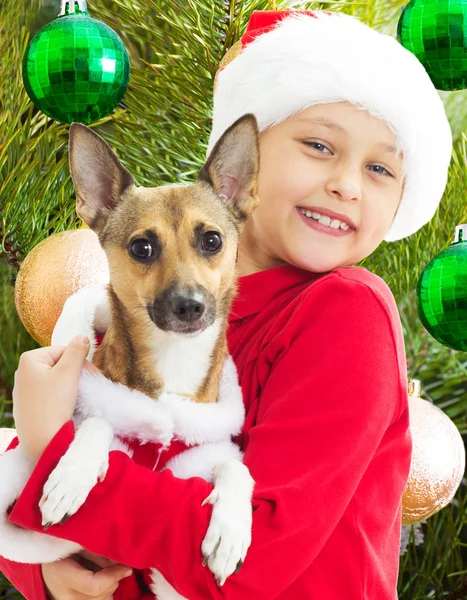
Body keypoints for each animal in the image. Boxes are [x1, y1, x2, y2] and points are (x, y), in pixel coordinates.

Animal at [0, 115, 260, 596]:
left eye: (212, 240)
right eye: (142, 247)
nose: (190, 306)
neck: (174, 361)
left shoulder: (214, 449)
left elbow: (239, 469)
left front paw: (230, 531)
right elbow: (98, 420)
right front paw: (72, 474)